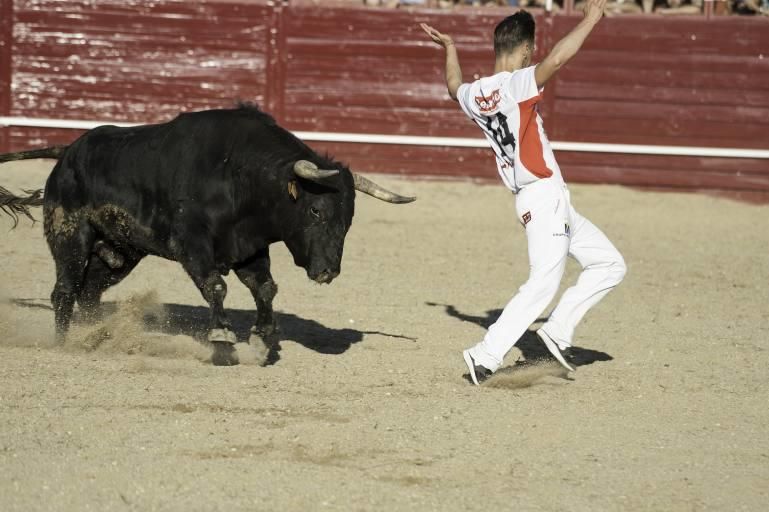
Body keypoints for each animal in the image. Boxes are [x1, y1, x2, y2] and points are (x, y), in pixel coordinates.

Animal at [0, 105, 414, 364]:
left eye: (350, 217)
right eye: (316, 210)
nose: (328, 271)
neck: (238, 175)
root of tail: (67, 152)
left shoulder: (249, 247)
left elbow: (265, 288)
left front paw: (261, 339)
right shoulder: (192, 243)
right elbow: (216, 285)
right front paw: (223, 340)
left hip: (118, 253)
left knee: (89, 293)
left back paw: (93, 336)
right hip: (71, 235)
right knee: (64, 291)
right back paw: (63, 343)